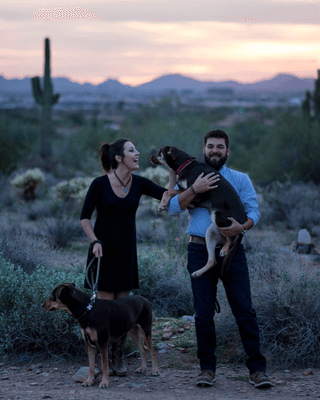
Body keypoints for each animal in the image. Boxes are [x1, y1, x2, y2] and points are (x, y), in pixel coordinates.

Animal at [151, 145, 248, 276]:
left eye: (160, 152)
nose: (150, 157)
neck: (185, 164)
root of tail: (243, 223)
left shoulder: (195, 195)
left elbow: (169, 191)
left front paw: (163, 205)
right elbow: (168, 192)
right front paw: (163, 205)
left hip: (219, 217)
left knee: (232, 236)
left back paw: (224, 249)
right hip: (211, 232)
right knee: (212, 260)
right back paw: (198, 272)